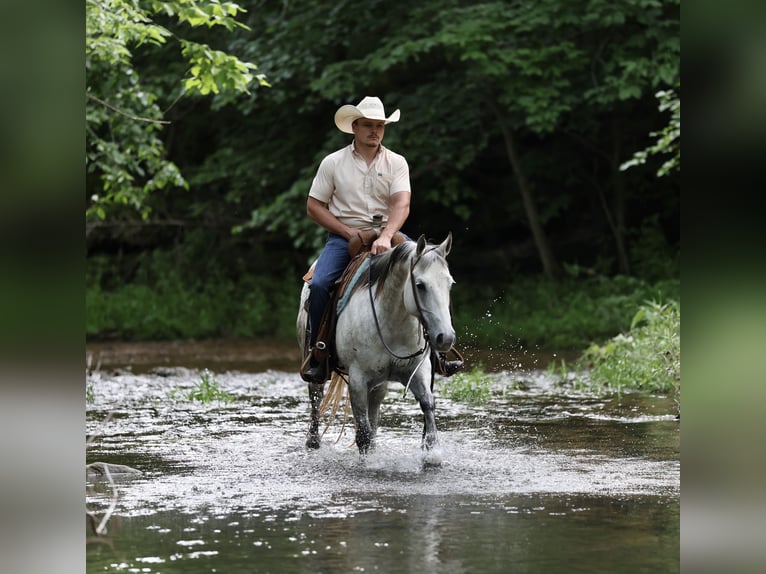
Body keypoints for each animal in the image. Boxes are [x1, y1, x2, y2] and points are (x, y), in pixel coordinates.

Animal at [296, 233, 456, 455]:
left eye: (450, 284)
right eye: (420, 285)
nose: (445, 337)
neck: (391, 322)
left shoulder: (418, 369)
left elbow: (427, 404)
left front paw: (432, 454)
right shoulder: (357, 379)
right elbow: (362, 434)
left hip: (379, 383)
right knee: (316, 394)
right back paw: (312, 441)